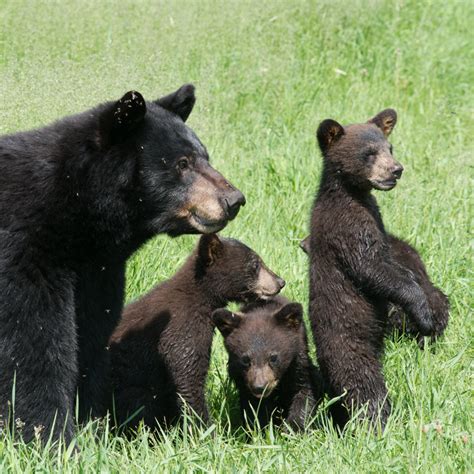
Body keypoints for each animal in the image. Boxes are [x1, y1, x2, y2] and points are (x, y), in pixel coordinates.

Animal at [0, 83, 244, 442]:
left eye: (206, 156)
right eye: (182, 163)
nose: (234, 200)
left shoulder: (95, 271)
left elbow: (91, 335)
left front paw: (92, 426)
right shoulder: (24, 251)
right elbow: (32, 342)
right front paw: (50, 435)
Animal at [108, 233, 286, 430]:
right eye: (255, 264)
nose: (280, 282)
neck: (199, 297)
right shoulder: (181, 327)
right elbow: (189, 375)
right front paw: (206, 429)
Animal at [214, 296, 322, 430]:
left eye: (273, 357)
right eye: (245, 359)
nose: (260, 387)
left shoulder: (298, 363)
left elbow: (305, 392)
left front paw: (293, 428)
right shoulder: (242, 380)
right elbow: (253, 407)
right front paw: (260, 429)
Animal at [308, 108, 448, 430]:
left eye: (390, 148)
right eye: (369, 153)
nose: (396, 170)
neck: (353, 194)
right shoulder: (346, 226)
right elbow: (372, 267)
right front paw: (424, 315)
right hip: (348, 336)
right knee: (361, 380)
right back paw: (377, 419)